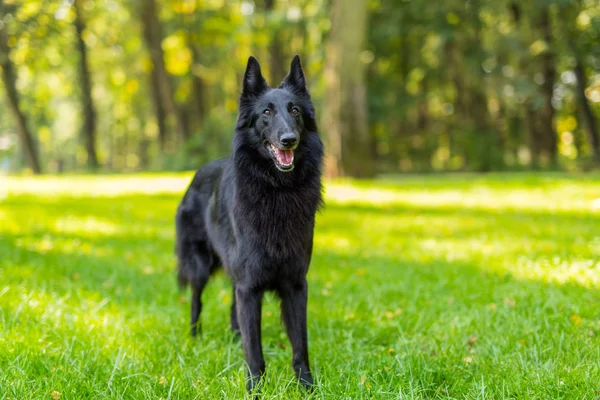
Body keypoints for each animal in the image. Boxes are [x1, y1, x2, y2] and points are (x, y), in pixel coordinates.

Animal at [175, 54, 324, 392]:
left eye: (294, 110)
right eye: (266, 112)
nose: (289, 139)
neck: (278, 191)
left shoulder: (295, 284)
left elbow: (300, 343)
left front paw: (307, 387)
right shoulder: (250, 285)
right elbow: (254, 349)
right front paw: (254, 389)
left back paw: (232, 338)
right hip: (200, 266)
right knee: (195, 300)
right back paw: (194, 337)